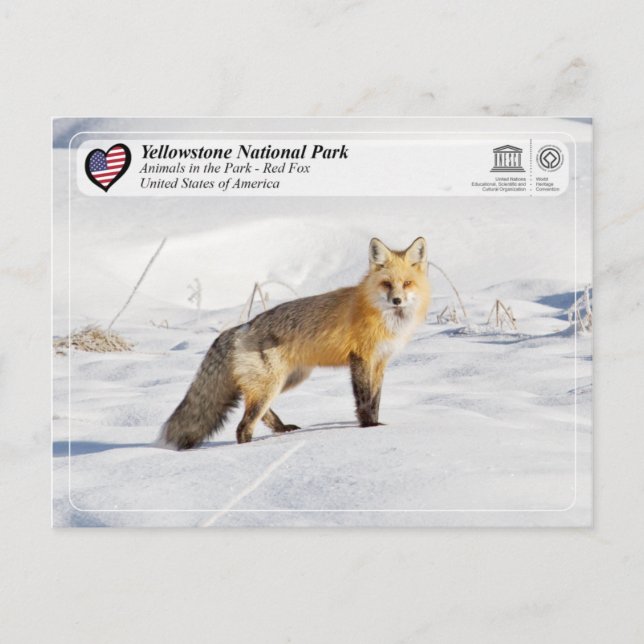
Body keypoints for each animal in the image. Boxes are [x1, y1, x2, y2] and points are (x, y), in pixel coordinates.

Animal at [160, 236, 430, 449]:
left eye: (407, 283)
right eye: (386, 284)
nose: (397, 300)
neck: (385, 319)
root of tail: (241, 328)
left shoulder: (380, 362)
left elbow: (375, 400)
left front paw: (376, 426)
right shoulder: (361, 359)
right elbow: (364, 402)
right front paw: (369, 428)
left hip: (286, 380)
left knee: (257, 411)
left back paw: (281, 429)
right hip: (273, 384)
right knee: (243, 426)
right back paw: (250, 448)